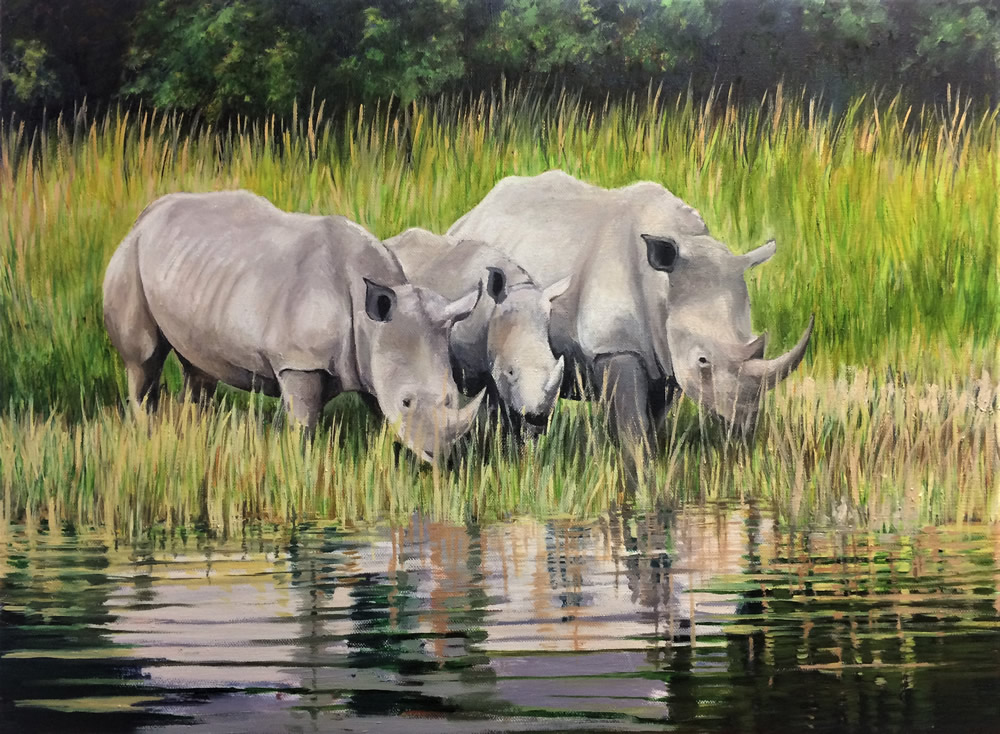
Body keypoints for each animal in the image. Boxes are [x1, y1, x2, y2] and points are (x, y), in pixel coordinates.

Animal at [103, 191, 484, 460]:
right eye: (406, 401)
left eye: (453, 396)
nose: (438, 454)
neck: (371, 322)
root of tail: (144, 217)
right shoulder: (299, 362)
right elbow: (304, 422)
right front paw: (301, 462)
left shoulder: (370, 358)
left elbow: (379, 412)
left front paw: (396, 461)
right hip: (130, 258)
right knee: (144, 361)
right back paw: (148, 435)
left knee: (198, 368)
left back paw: (195, 436)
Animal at [448, 171, 813, 476]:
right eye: (703, 361)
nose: (745, 420)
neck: (663, 283)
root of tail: (469, 215)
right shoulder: (615, 346)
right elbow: (633, 425)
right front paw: (640, 470)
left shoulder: (664, 356)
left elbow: (653, 419)